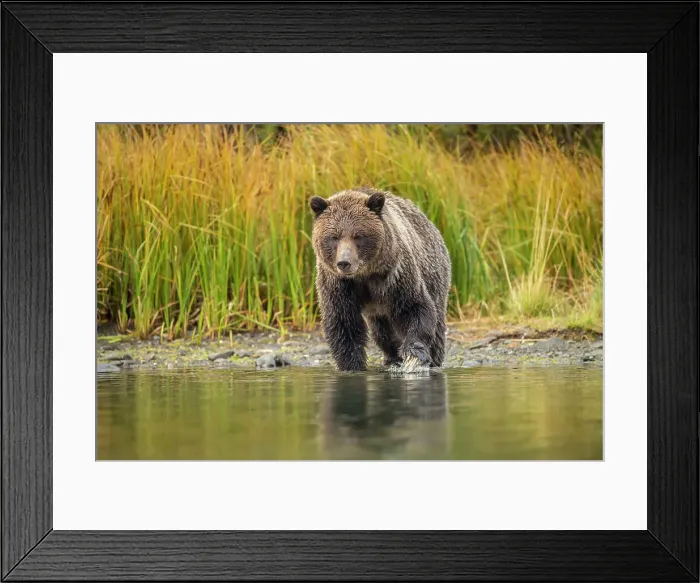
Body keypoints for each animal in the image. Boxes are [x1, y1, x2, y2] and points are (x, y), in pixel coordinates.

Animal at [309, 187, 451, 371]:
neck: (364, 275)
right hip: (378, 312)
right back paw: (392, 358)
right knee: (383, 332)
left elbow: (415, 307)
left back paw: (433, 359)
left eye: (358, 235)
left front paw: (414, 353)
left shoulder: (395, 276)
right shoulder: (339, 285)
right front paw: (352, 365)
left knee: (437, 320)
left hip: (434, 273)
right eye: (334, 236)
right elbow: (344, 324)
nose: (344, 263)